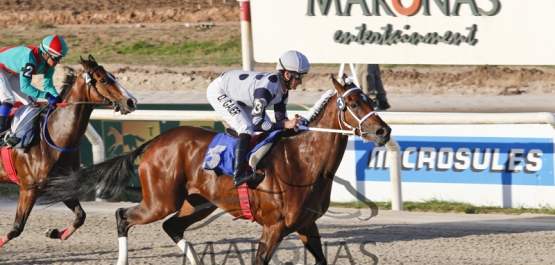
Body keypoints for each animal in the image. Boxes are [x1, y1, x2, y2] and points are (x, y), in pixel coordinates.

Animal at [0, 54, 138, 246]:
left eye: (114, 77)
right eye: (103, 79)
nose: (131, 101)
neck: (53, 137)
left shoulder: (61, 183)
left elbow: (81, 216)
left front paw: (54, 233)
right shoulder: (29, 189)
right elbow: (16, 228)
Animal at [43, 73, 390, 262]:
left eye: (371, 100)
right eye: (354, 104)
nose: (384, 131)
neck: (303, 162)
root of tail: (155, 142)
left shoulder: (307, 225)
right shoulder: (275, 226)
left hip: (198, 202)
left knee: (172, 227)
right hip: (161, 200)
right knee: (123, 216)